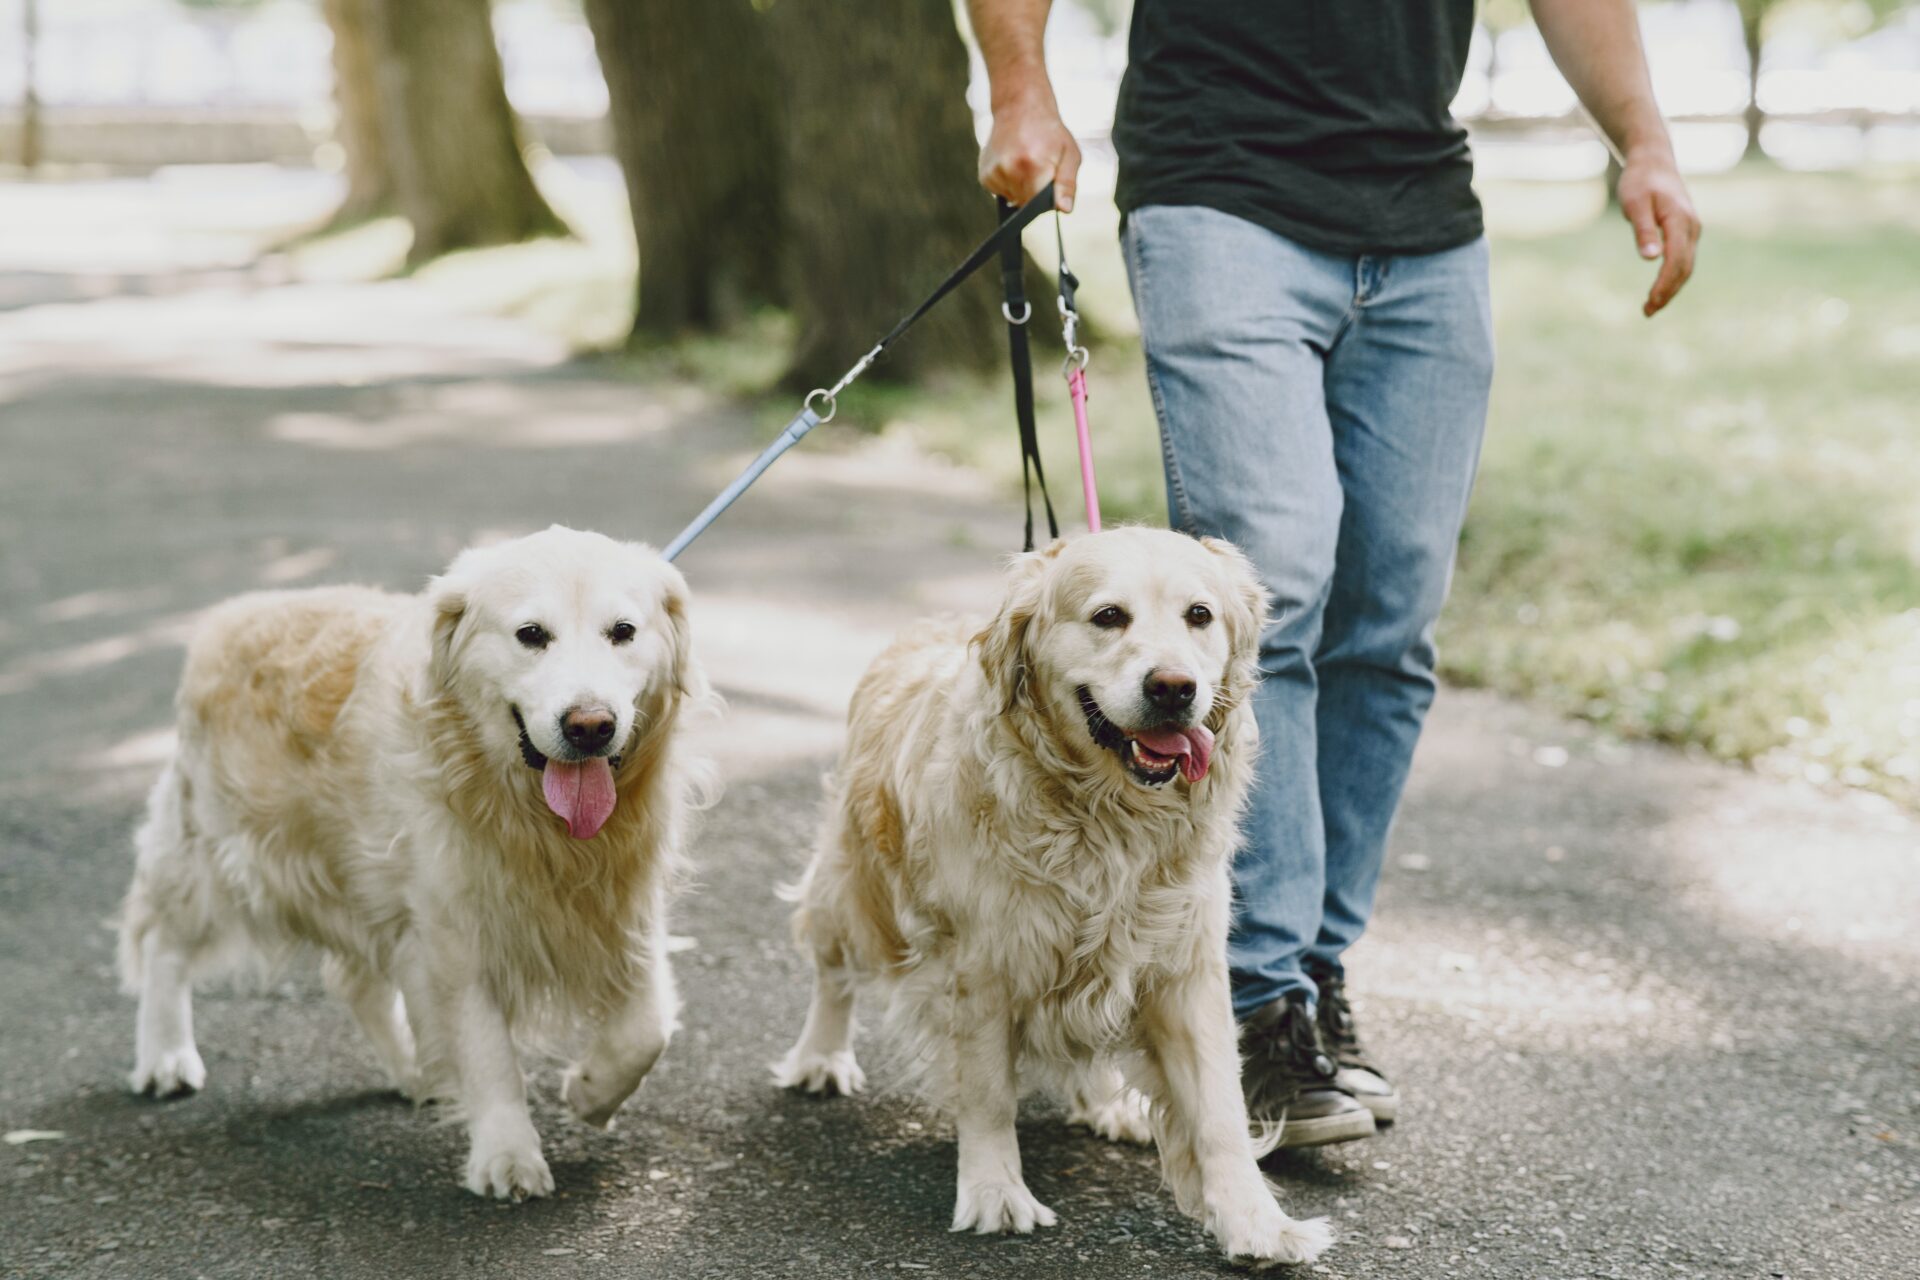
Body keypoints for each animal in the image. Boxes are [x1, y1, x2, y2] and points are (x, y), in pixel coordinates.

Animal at [118, 521, 714, 1205]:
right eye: (531, 634)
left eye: (623, 631)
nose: (590, 726)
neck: (532, 820)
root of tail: (230, 614)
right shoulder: (457, 932)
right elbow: (488, 1052)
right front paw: (507, 1153)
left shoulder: (626, 908)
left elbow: (646, 1030)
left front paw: (591, 1092)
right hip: (224, 853)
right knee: (163, 941)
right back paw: (164, 1056)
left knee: (357, 981)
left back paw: (417, 1068)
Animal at [771, 525, 1328, 1266]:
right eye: (1108, 616)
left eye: (1200, 615)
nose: (1174, 687)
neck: (1107, 819)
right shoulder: (981, 968)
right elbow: (987, 1093)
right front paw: (995, 1192)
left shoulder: (1185, 969)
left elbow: (1220, 1110)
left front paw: (1258, 1222)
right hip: (853, 886)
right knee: (831, 967)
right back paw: (821, 1058)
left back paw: (1107, 1104)